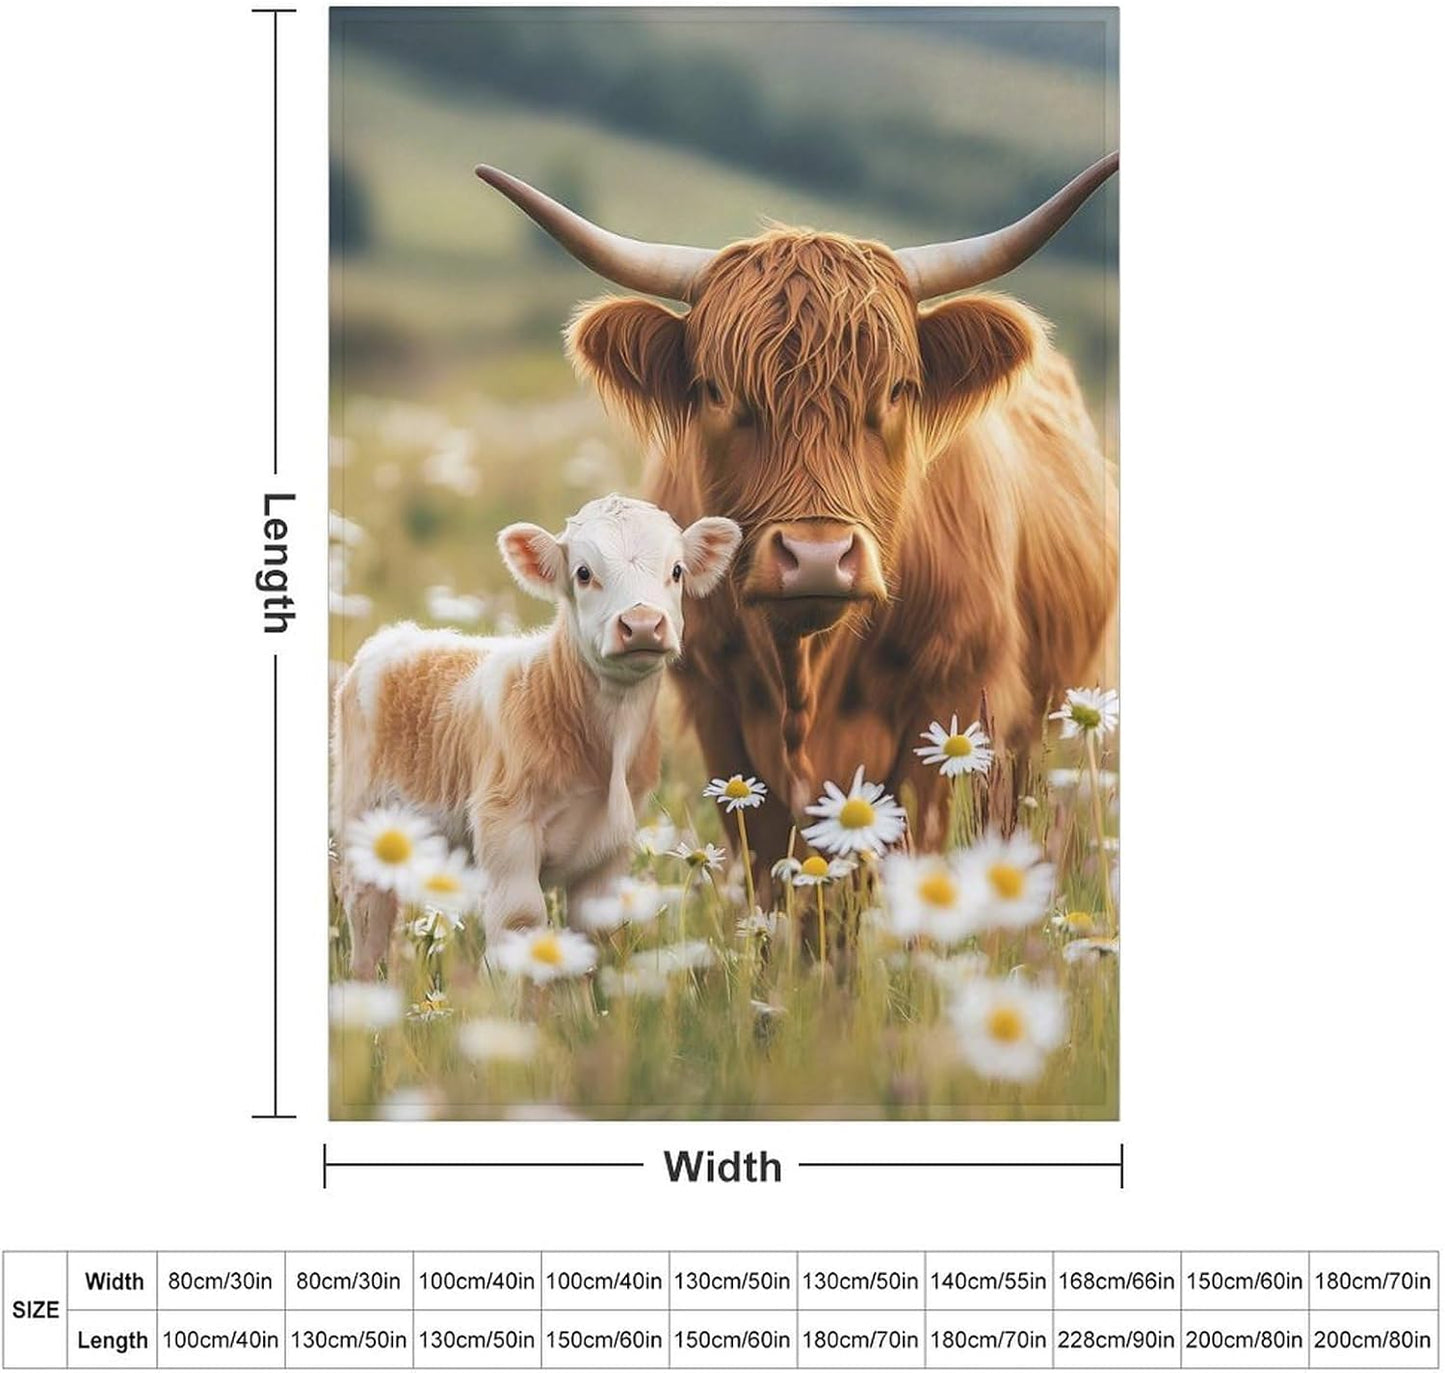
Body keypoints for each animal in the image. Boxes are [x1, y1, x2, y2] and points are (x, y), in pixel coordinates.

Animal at [332, 493, 741, 975]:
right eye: (583, 572)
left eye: (676, 570)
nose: (641, 624)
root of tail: (397, 636)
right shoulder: (505, 828)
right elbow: (521, 923)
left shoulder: (612, 846)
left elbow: (596, 934)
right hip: (361, 823)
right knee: (369, 919)